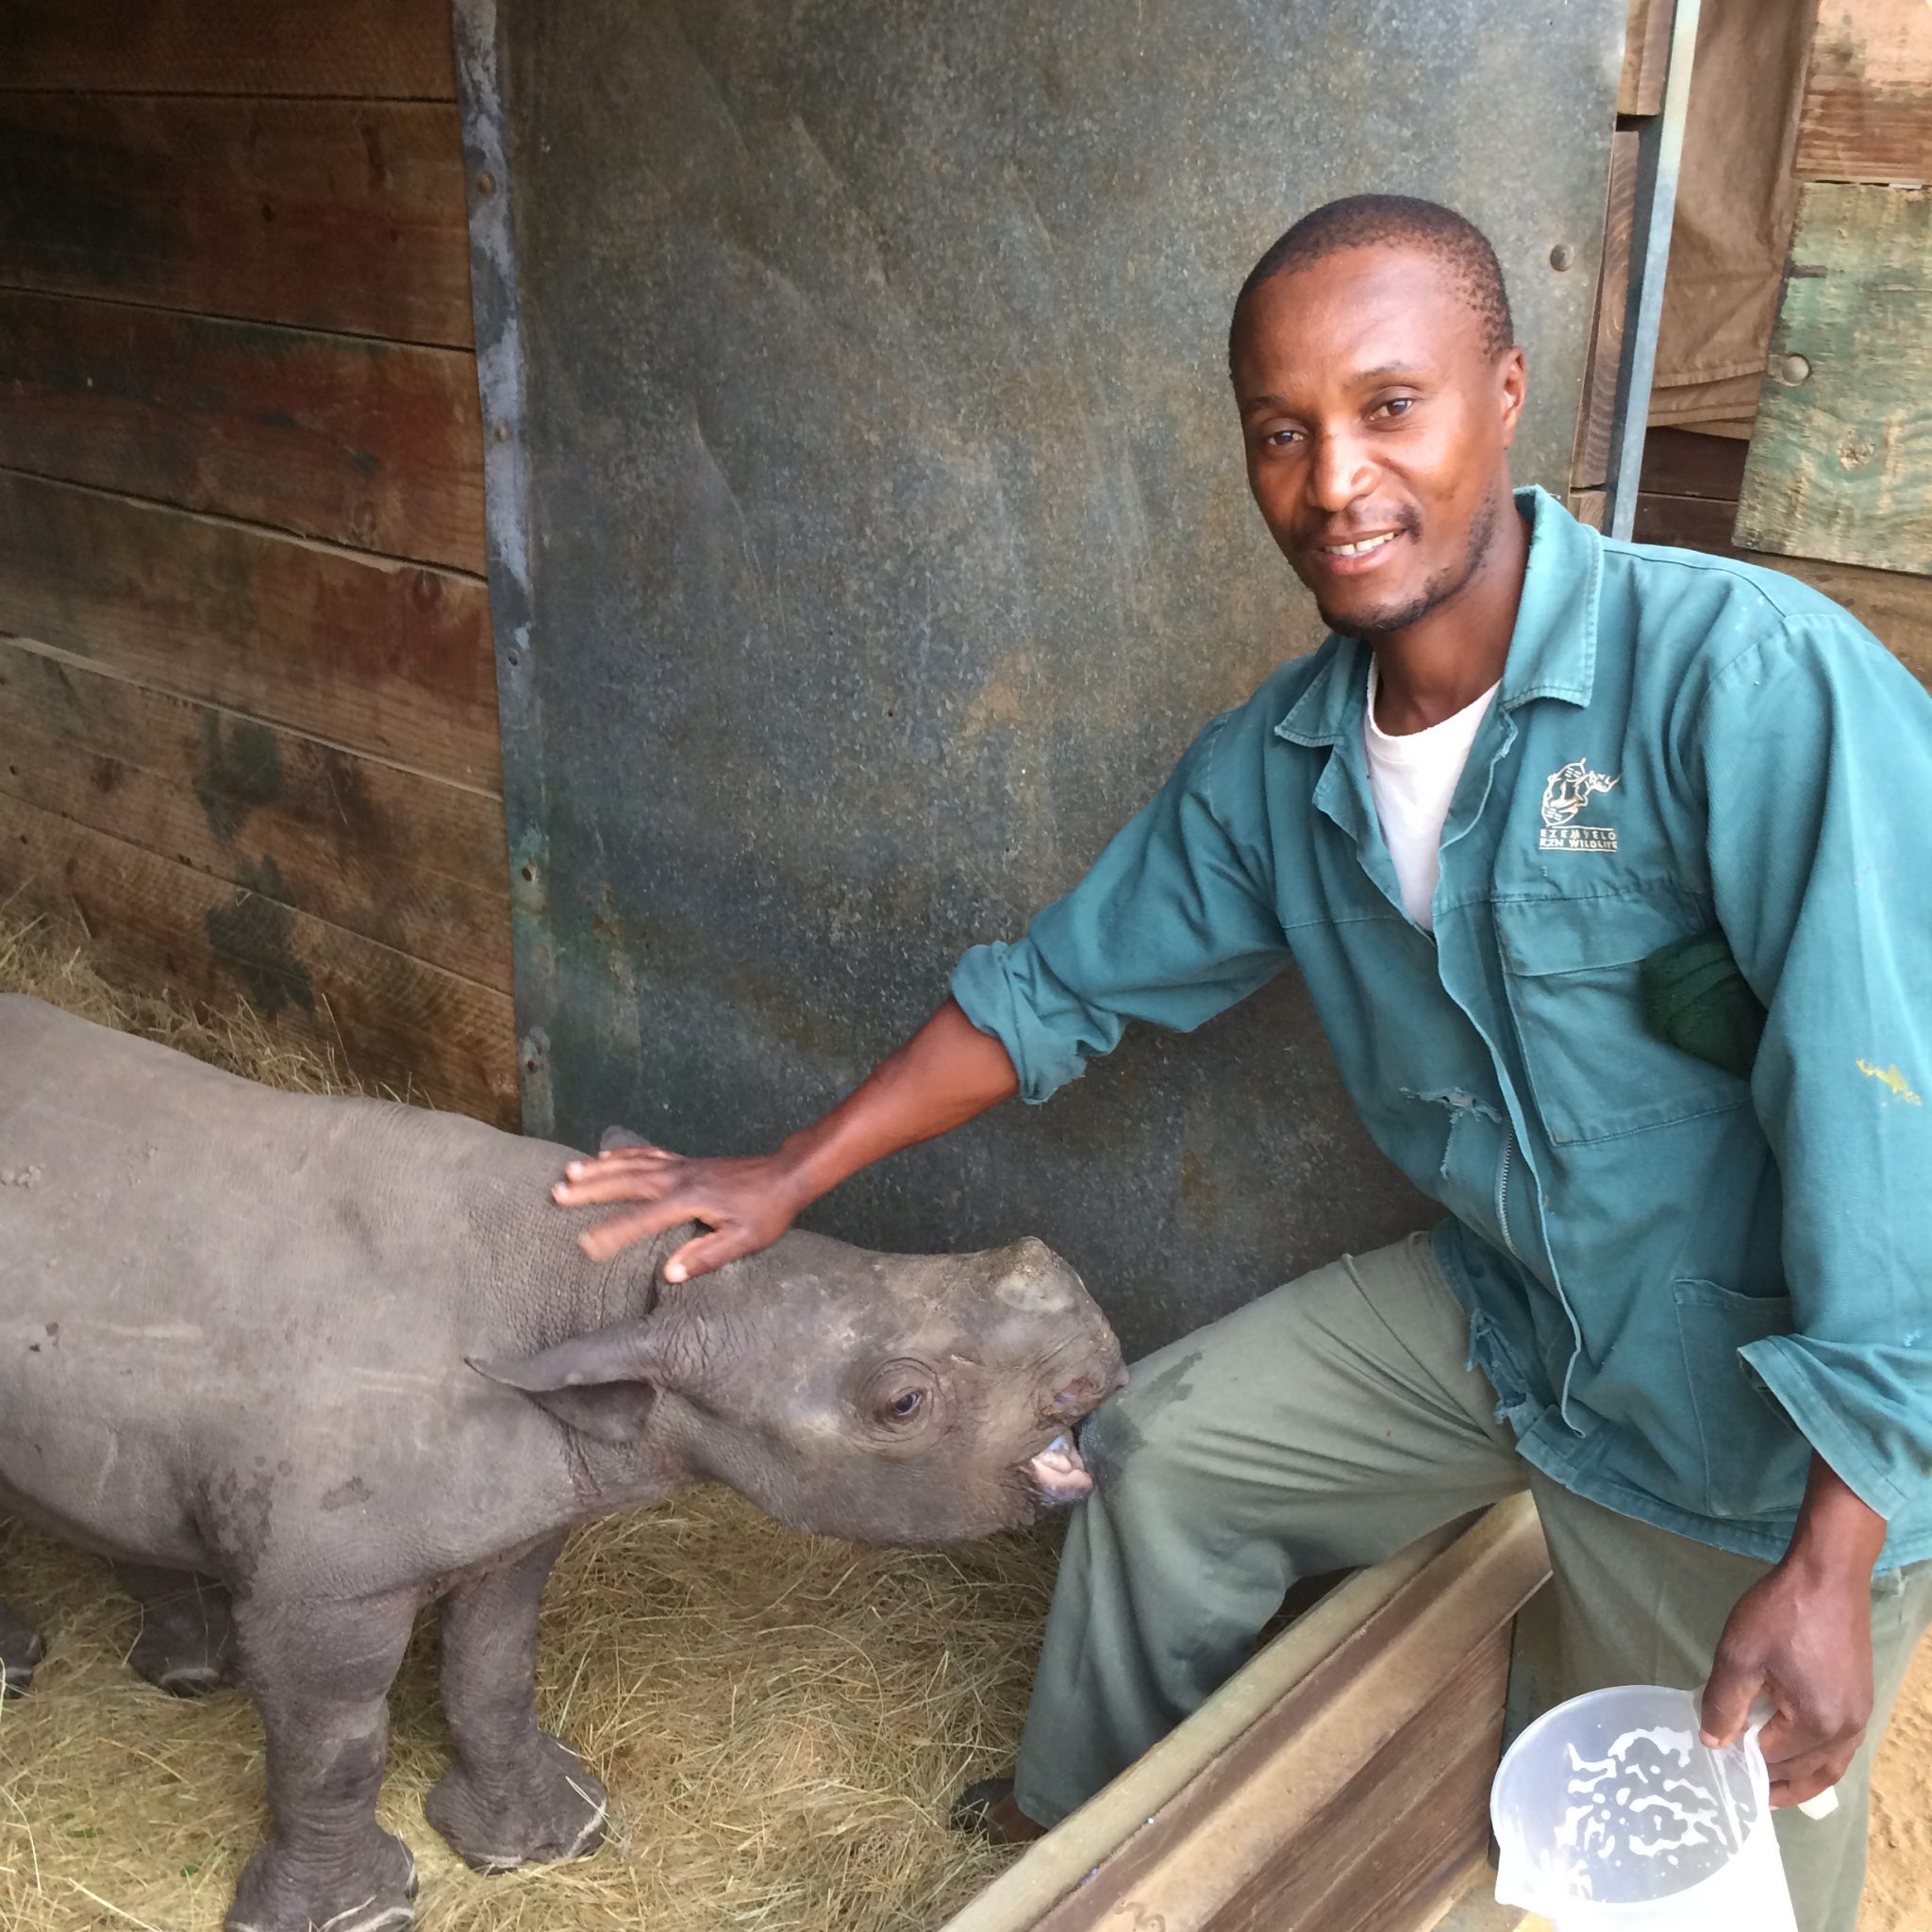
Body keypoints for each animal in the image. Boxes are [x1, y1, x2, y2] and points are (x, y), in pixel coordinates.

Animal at [0, 996, 1128, 1932]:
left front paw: (551, 1838)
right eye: (901, 1404)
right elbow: (335, 1745)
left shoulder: (519, 1512)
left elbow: (495, 1664)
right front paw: (355, 1914)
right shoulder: (324, 1587)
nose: (1093, 1345)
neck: (611, 1296)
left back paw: (185, 1669)